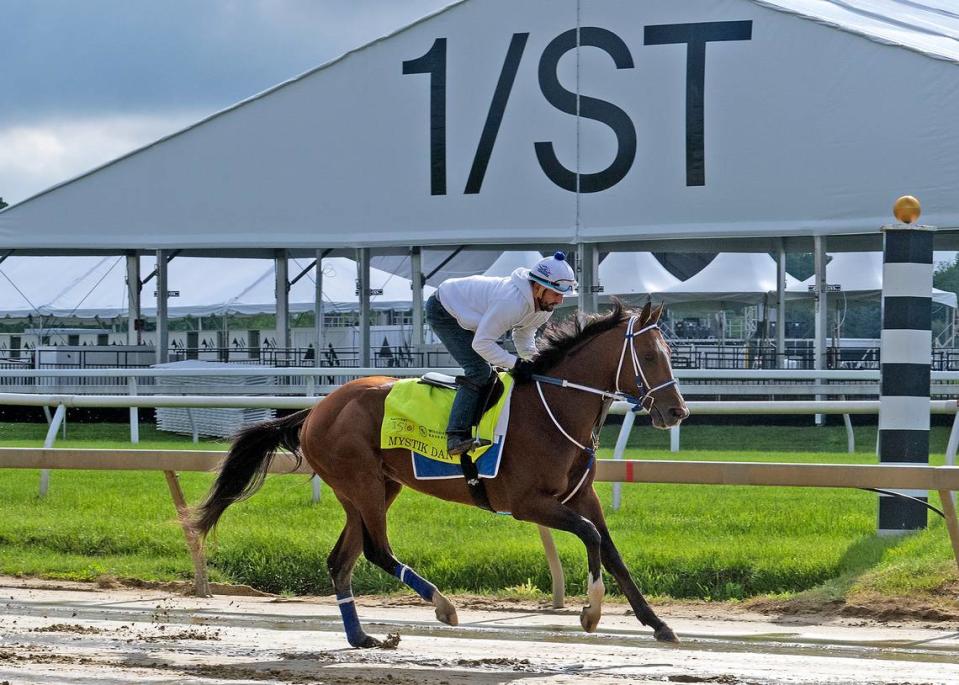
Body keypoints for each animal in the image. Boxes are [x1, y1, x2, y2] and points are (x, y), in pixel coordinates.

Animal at [189, 300, 688, 648]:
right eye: (649, 355)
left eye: (669, 352)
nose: (676, 411)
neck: (555, 408)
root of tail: (315, 410)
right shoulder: (527, 504)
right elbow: (589, 536)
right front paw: (591, 612)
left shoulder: (581, 496)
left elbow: (610, 548)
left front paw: (658, 624)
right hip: (362, 484)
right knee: (377, 551)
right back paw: (443, 606)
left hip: (371, 488)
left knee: (341, 559)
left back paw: (361, 637)